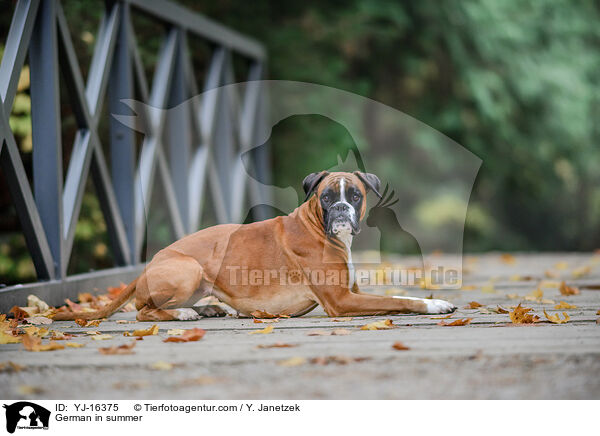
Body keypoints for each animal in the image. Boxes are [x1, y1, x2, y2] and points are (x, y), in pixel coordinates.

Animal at [56, 172, 454, 322]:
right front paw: (434, 304)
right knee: (144, 312)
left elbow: (393, 293)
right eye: (326, 197)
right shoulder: (342, 302)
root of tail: (146, 267)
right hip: (188, 268)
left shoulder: (351, 292)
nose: (342, 208)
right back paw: (185, 314)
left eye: (354, 195)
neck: (316, 227)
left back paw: (210, 309)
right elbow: (400, 299)